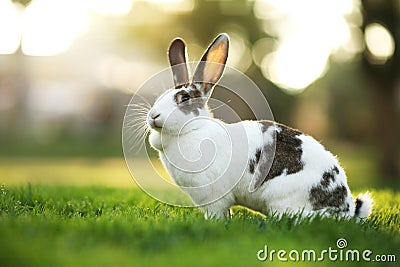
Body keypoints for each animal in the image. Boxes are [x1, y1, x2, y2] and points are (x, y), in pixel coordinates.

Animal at [145, 33, 374, 221]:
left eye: (184, 98)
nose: (153, 116)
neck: (193, 130)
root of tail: (345, 208)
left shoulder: (214, 199)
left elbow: (217, 214)